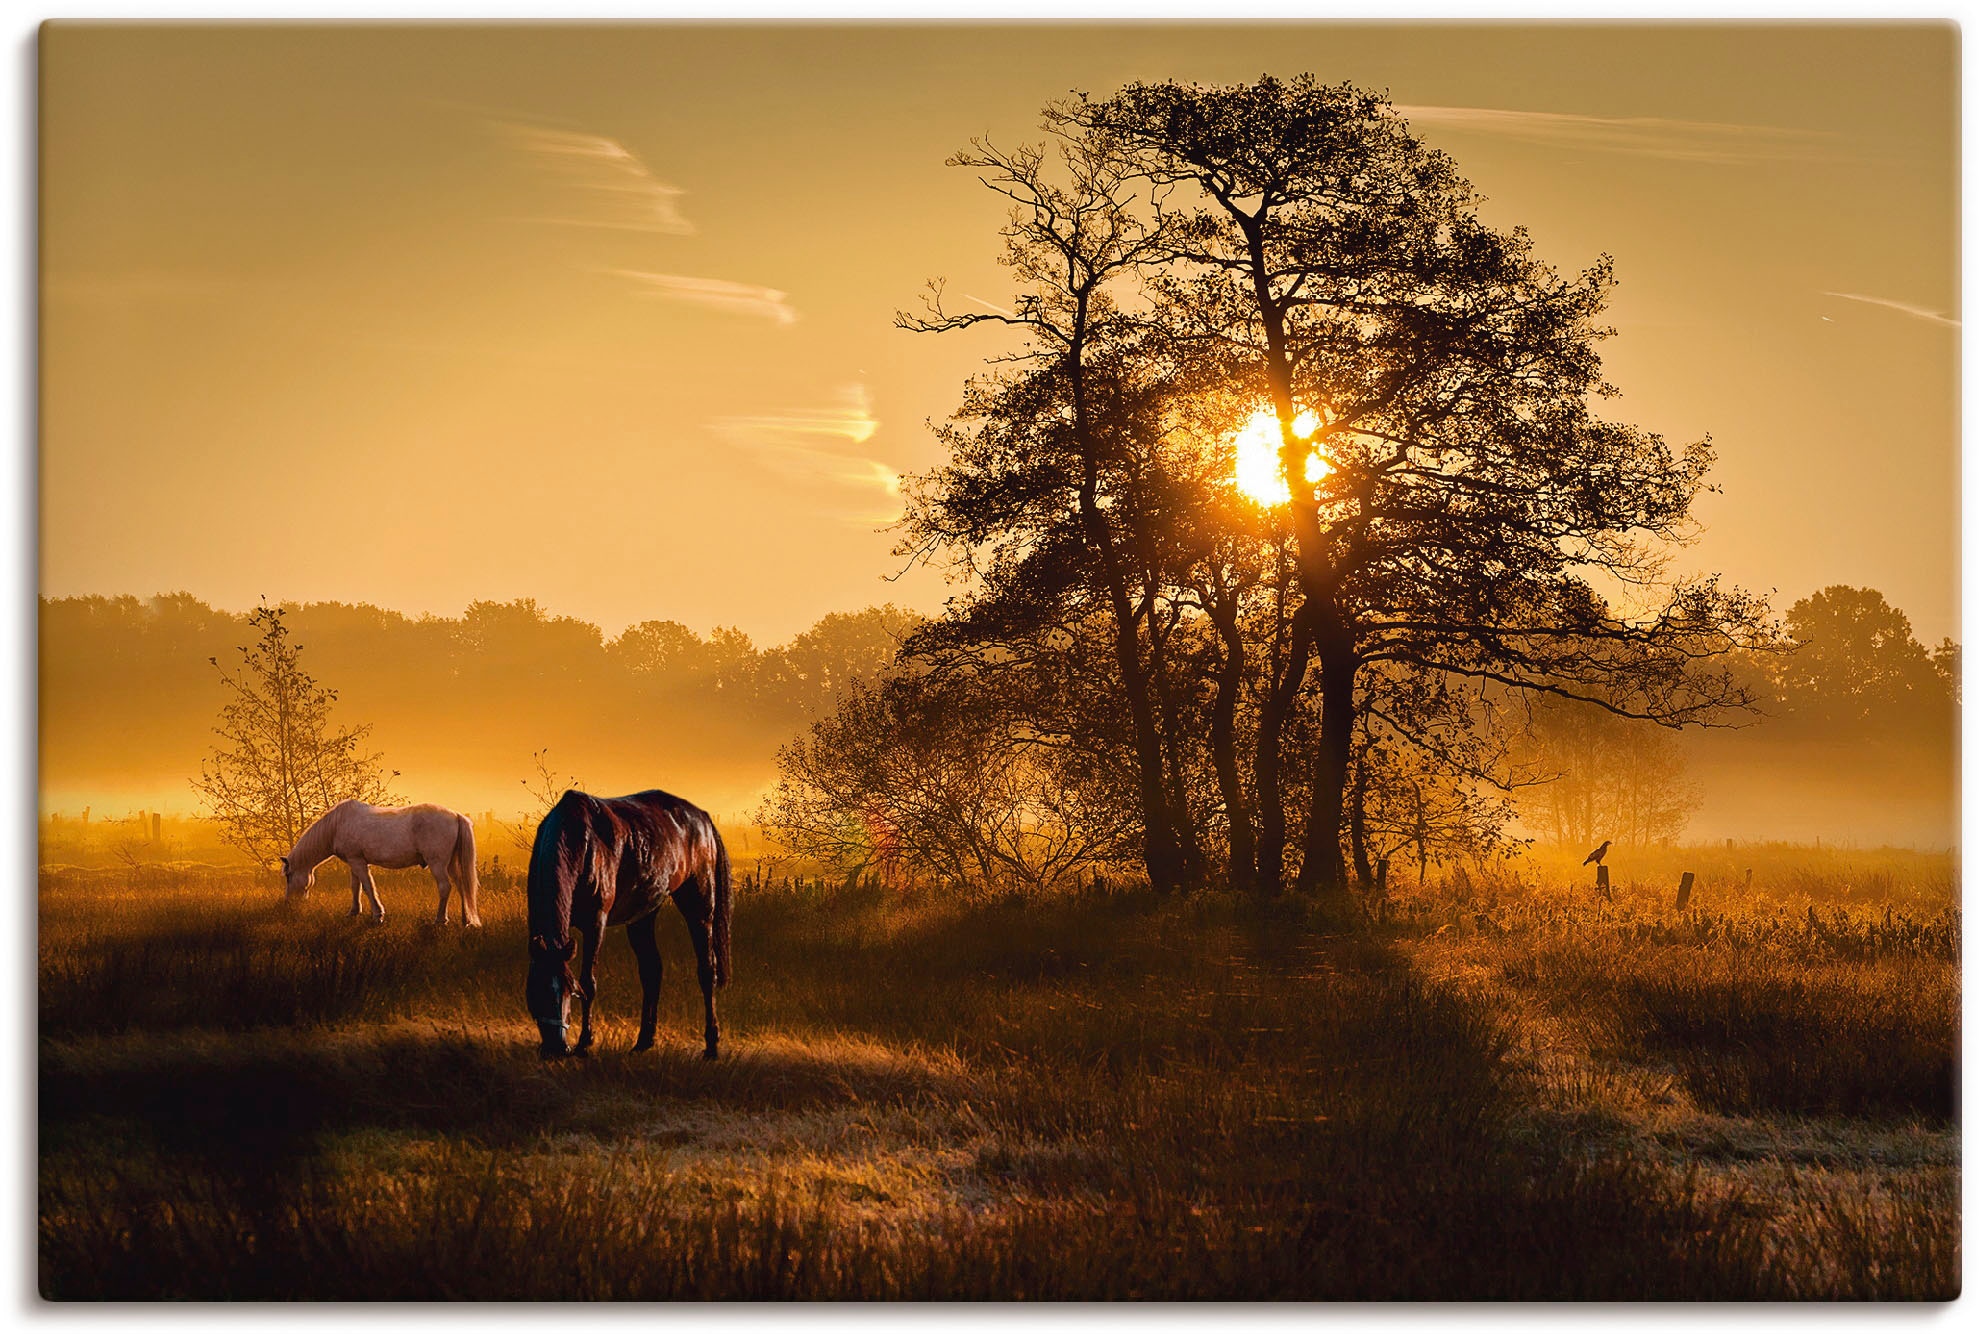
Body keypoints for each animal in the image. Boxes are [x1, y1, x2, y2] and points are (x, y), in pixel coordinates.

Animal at [281, 800, 481, 927]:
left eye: (289, 876)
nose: (289, 904)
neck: (337, 825)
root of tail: (455, 815)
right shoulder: (354, 861)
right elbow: (355, 887)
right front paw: (353, 912)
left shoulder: (358, 862)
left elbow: (368, 887)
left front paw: (378, 915)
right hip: (451, 864)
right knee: (461, 885)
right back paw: (466, 920)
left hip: (437, 864)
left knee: (445, 887)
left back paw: (440, 920)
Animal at [526, 784, 736, 1054]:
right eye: (536, 990)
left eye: (569, 991)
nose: (556, 1048)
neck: (581, 842)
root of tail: (703, 819)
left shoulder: (596, 923)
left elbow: (589, 982)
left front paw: (585, 1042)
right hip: (643, 916)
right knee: (652, 970)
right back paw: (644, 1040)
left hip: (699, 908)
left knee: (707, 971)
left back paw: (711, 1045)